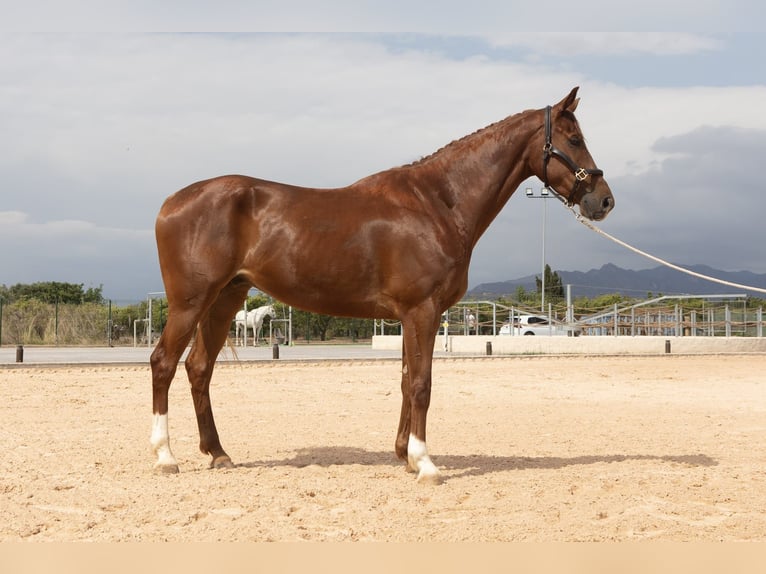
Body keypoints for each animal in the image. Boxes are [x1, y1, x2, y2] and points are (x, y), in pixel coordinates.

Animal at [152, 88, 616, 484]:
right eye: (574, 139)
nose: (604, 200)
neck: (438, 203)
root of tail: (171, 202)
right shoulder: (422, 311)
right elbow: (421, 384)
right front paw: (425, 463)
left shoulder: (414, 316)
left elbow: (408, 379)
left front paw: (405, 454)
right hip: (191, 302)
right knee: (164, 363)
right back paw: (165, 456)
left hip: (224, 299)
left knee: (199, 368)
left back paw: (218, 453)